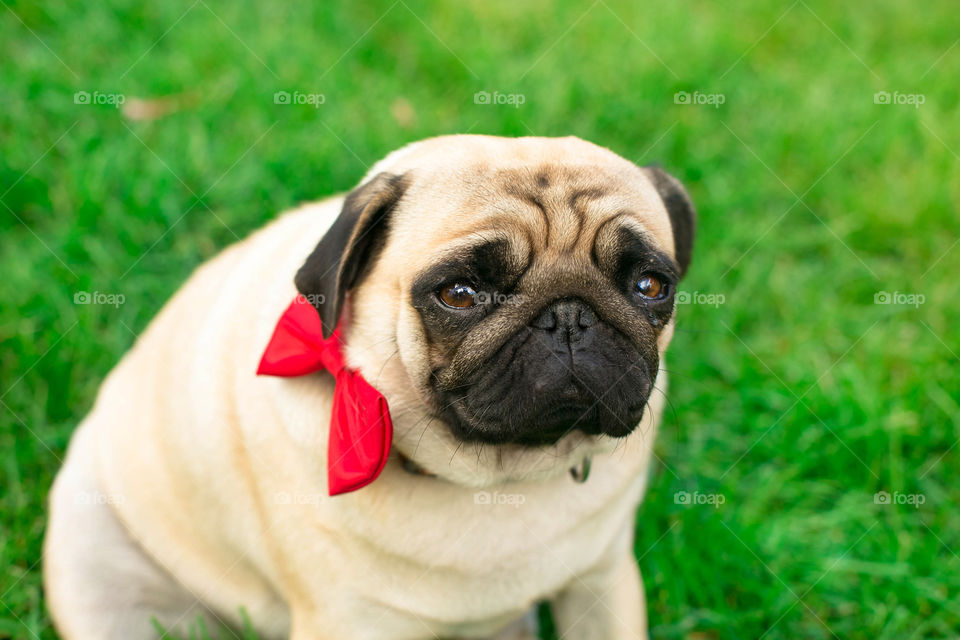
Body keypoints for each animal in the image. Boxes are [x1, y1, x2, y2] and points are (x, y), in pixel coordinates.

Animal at [45, 135, 692, 640]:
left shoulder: (602, 582)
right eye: (460, 293)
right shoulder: (349, 620)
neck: (495, 479)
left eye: (650, 285)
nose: (569, 317)